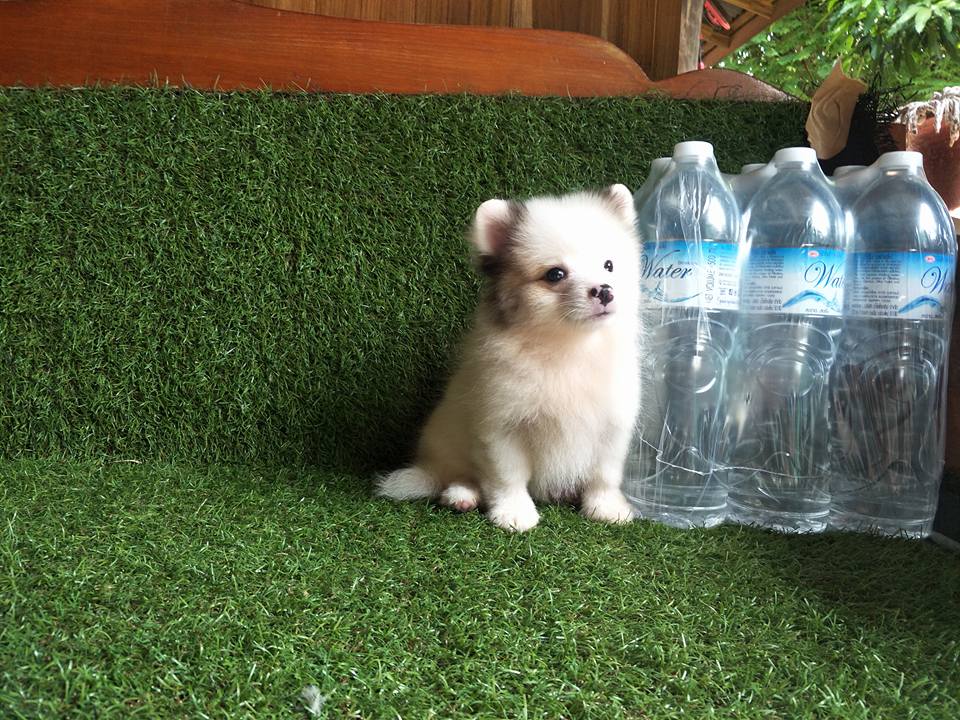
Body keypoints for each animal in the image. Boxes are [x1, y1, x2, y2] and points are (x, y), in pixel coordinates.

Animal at [376, 185, 641, 531]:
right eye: (555, 274)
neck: (569, 347)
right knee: (458, 474)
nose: (605, 290)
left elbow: (604, 474)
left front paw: (606, 508)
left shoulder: (612, 425)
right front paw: (513, 512)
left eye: (609, 265)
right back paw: (462, 495)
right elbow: (507, 477)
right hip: (447, 441)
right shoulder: (502, 427)